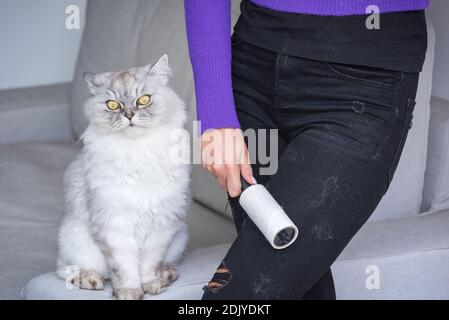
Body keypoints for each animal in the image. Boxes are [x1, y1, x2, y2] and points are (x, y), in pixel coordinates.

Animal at [56, 55, 189, 300]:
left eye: (144, 100)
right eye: (112, 105)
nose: (128, 115)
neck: (138, 150)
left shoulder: (162, 226)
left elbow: (148, 264)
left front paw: (152, 285)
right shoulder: (114, 226)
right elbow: (125, 268)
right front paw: (128, 293)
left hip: (179, 238)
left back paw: (167, 274)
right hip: (75, 240)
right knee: (66, 269)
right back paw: (90, 279)